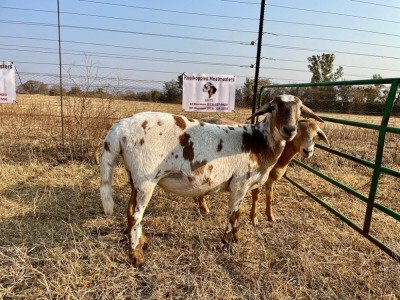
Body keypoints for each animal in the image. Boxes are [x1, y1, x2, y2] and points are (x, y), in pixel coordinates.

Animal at [194, 117, 328, 225]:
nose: (307, 151)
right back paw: (204, 207)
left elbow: (270, 196)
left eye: (317, 133)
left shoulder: (271, 179)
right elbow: (256, 197)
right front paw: (254, 218)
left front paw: (270, 216)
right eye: (298, 130)